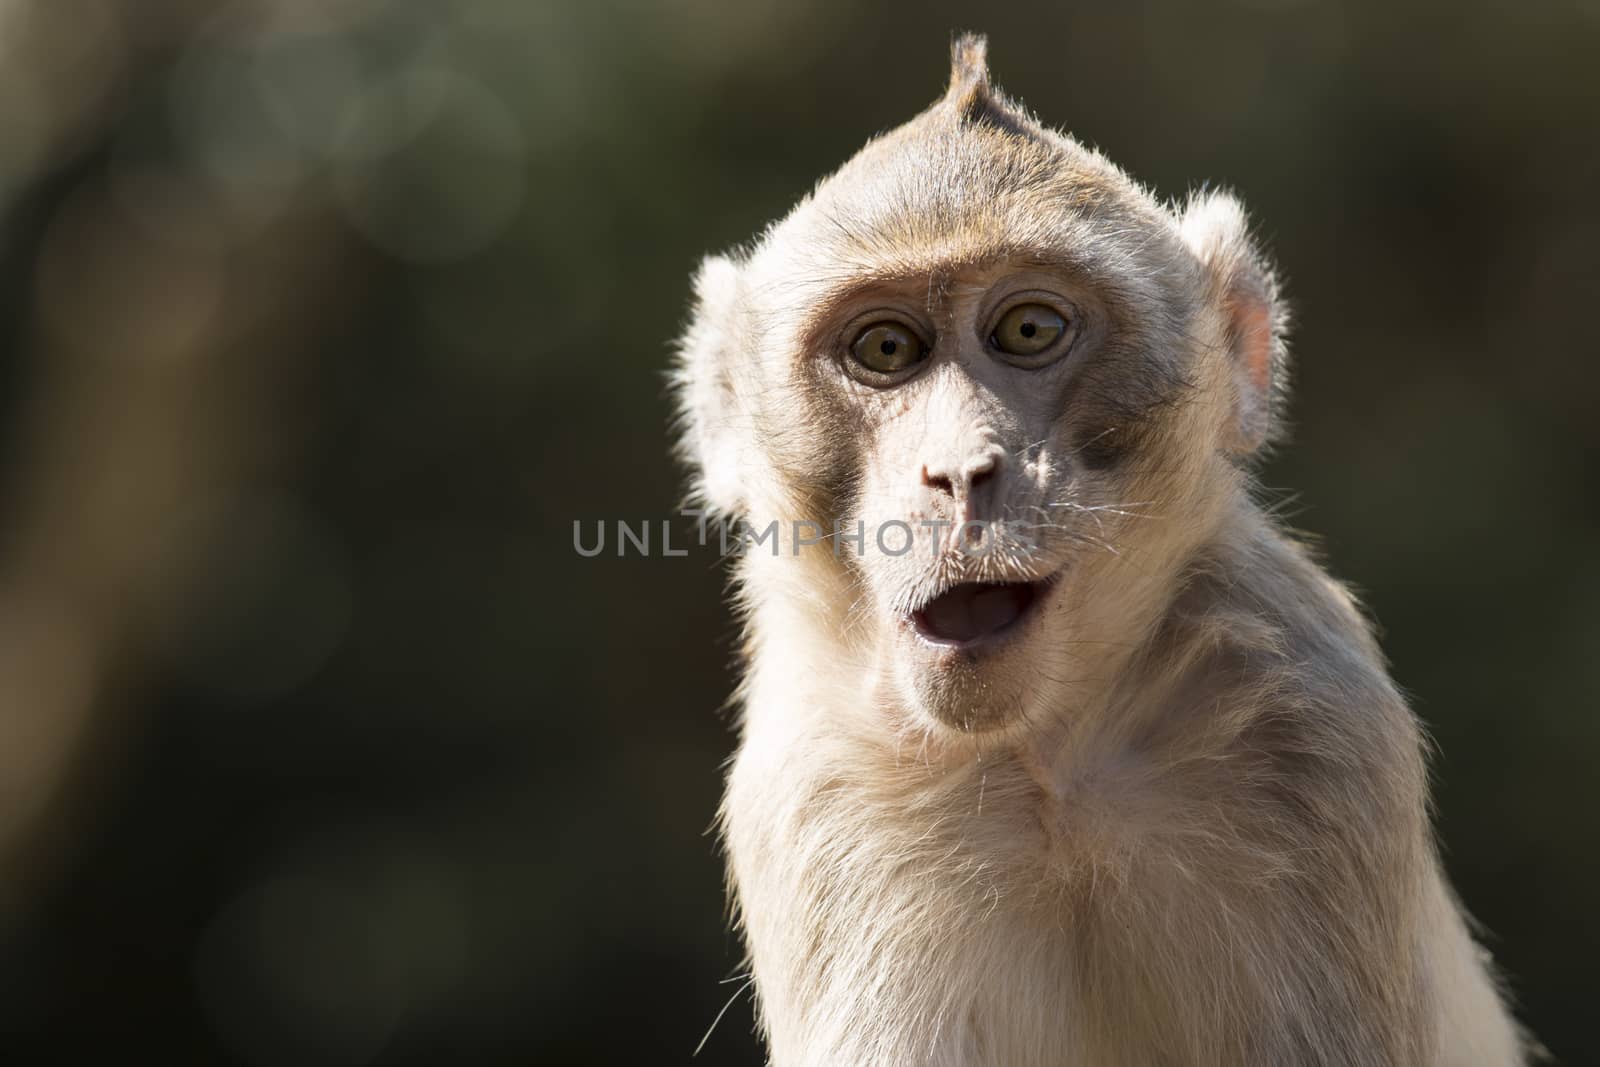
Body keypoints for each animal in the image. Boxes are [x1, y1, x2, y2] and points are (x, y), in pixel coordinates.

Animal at [668, 35, 1529, 1067]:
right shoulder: (824, 791)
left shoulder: (1316, 721)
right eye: (885, 349)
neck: (1049, 766)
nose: (959, 472)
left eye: (1029, 329)